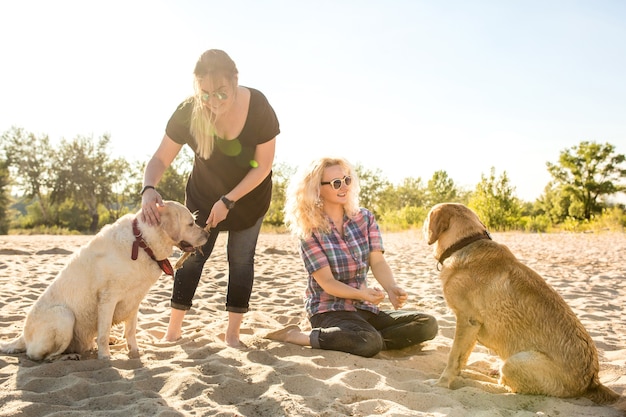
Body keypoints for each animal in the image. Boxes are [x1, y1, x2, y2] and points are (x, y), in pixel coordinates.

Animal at [0, 200, 210, 360]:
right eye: (191, 224)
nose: (208, 234)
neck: (142, 243)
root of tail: (23, 336)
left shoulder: (134, 300)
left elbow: (131, 330)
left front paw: (134, 352)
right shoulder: (108, 299)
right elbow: (104, 331)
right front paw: (106, 357)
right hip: (64, 315)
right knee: (40, 356)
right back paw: (68, 356)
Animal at [422, 203, 620, 404]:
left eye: (428, 216)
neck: (465, 242)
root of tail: (592, 382)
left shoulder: (467, 321)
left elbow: (453, 357)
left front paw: (441, 383)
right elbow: (461, 358)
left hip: (515, 362)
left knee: (506, 385)